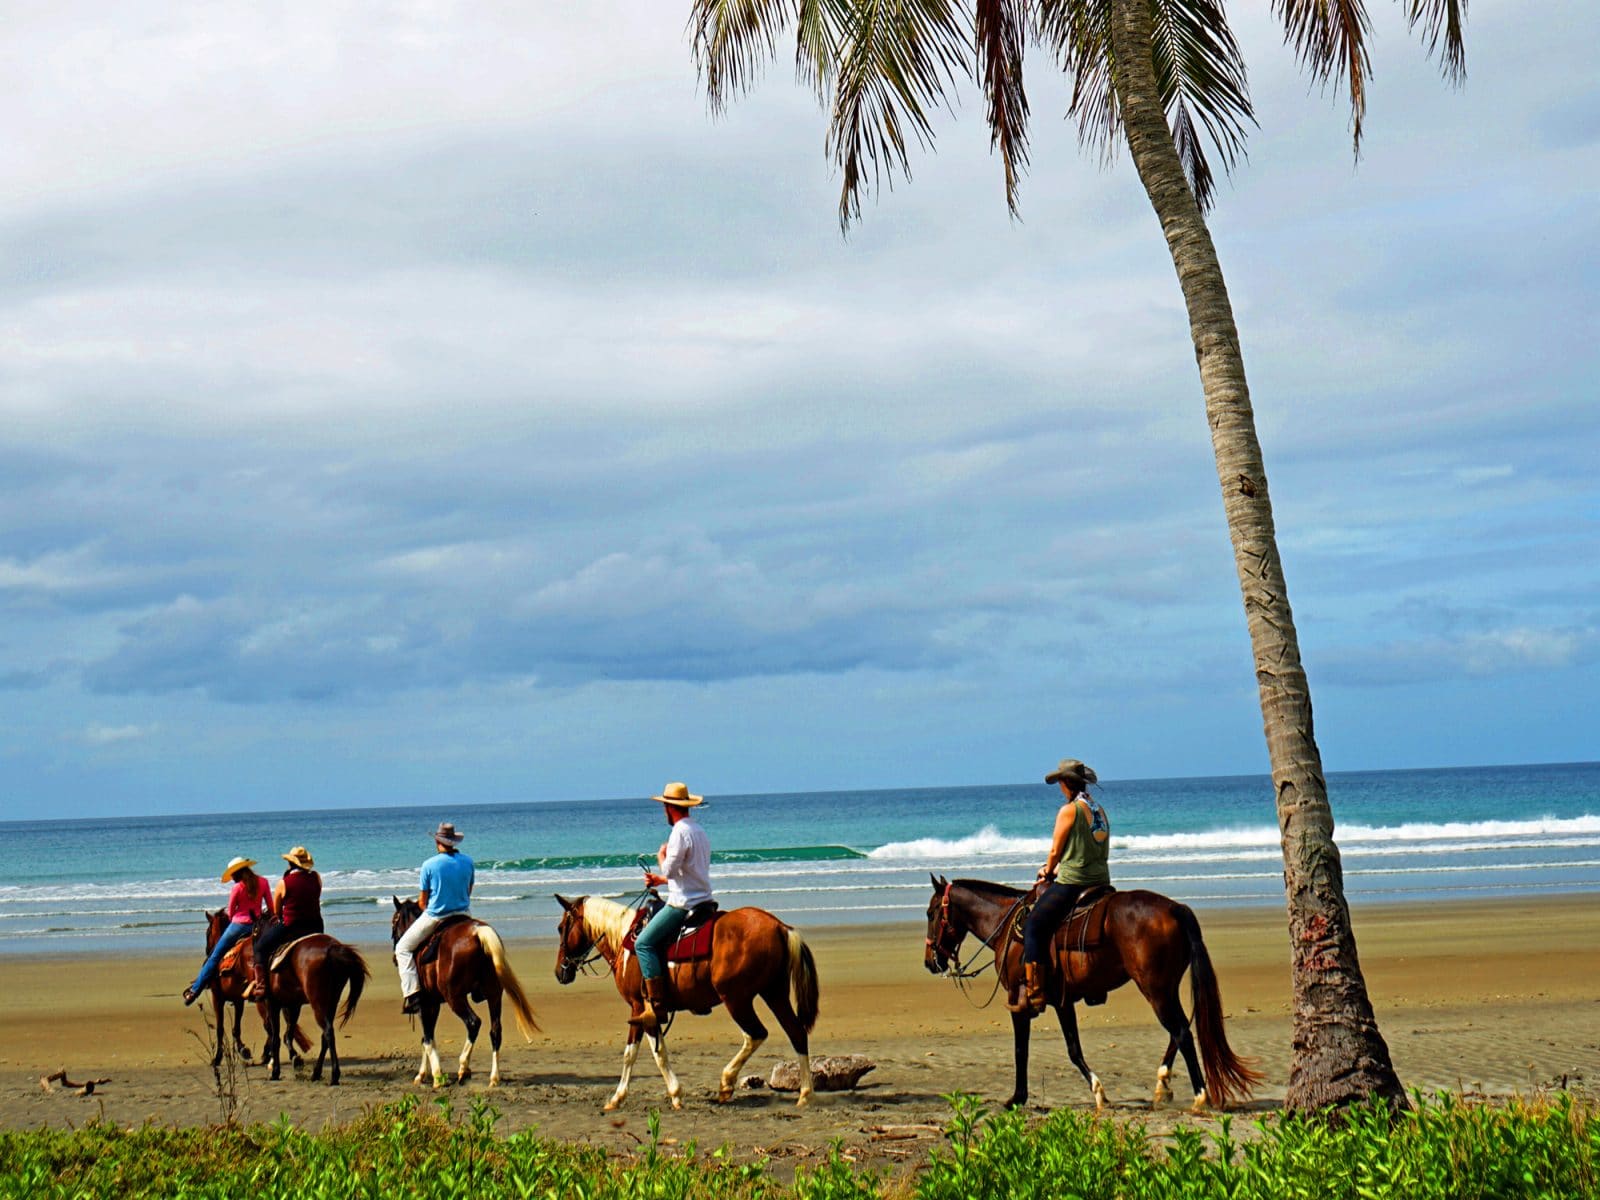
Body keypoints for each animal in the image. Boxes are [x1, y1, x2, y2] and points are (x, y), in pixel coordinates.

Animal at [200, 908, 308, 1068]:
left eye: (207, 932)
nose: (208, 951)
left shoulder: (217, 997)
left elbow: (220, 1028)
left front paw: (218, 1057)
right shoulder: (238, 1000)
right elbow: (236, 1028)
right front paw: (243, 1050)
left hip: (261, 1000)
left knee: (270, 1026)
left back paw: (270, 1055)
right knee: (286, 1024)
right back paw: (286, 1054)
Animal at [256, 928, 368, 1088]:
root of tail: (333, 949)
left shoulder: (272, 1003)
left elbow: (276, 1037)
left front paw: (275, 1071)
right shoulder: (293, 1005)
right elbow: (288, 1033)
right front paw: (294, 1057)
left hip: (318, 1003)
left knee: (328, 1033)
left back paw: (334, 1075)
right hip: (331, 1002)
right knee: (324, 1036)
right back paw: (316, 1073)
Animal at [388, 902, 540, 1088]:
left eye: (394, 922)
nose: (394, 957)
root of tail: (478, 932)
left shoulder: (424, 1005)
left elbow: (427, 1038)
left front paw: (435, 1076)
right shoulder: (434, 1004)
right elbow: (426, 1037)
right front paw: (424, 1074)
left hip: (455, 997)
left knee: (473, 1023)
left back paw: (463, 1068)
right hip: (494, 995)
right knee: (495, 1031)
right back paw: (493, 1077)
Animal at [553, 896, 825, 1113]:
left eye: (561, 928)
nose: (560, 971)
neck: (624, 940)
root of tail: (780, 927)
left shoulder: (640, 1008)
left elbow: (648, 1054)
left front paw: (670, 1095)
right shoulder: (645, 1012)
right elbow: (641, 1052)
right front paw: (623, 1097)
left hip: (736, 998)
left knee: (755, 1034)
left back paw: (726, 1083)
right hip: (774, 993)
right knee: (796, 1032)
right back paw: (805, 1094)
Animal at [928, 876, 1260, 1120]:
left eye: (931, 913)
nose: (930, 962)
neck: (1006, 927)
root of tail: (1175, 908)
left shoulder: (1018, 1002)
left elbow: (1022, 1051)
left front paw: (1018, 1098)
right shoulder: (1062, 1002)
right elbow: (1073, 1049)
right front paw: (1098, 1091)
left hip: (1155, 989)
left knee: (1181, 1032)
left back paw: (1199, 1096)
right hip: (1165, 988)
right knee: (1180, 1031)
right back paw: (1162, 1084)